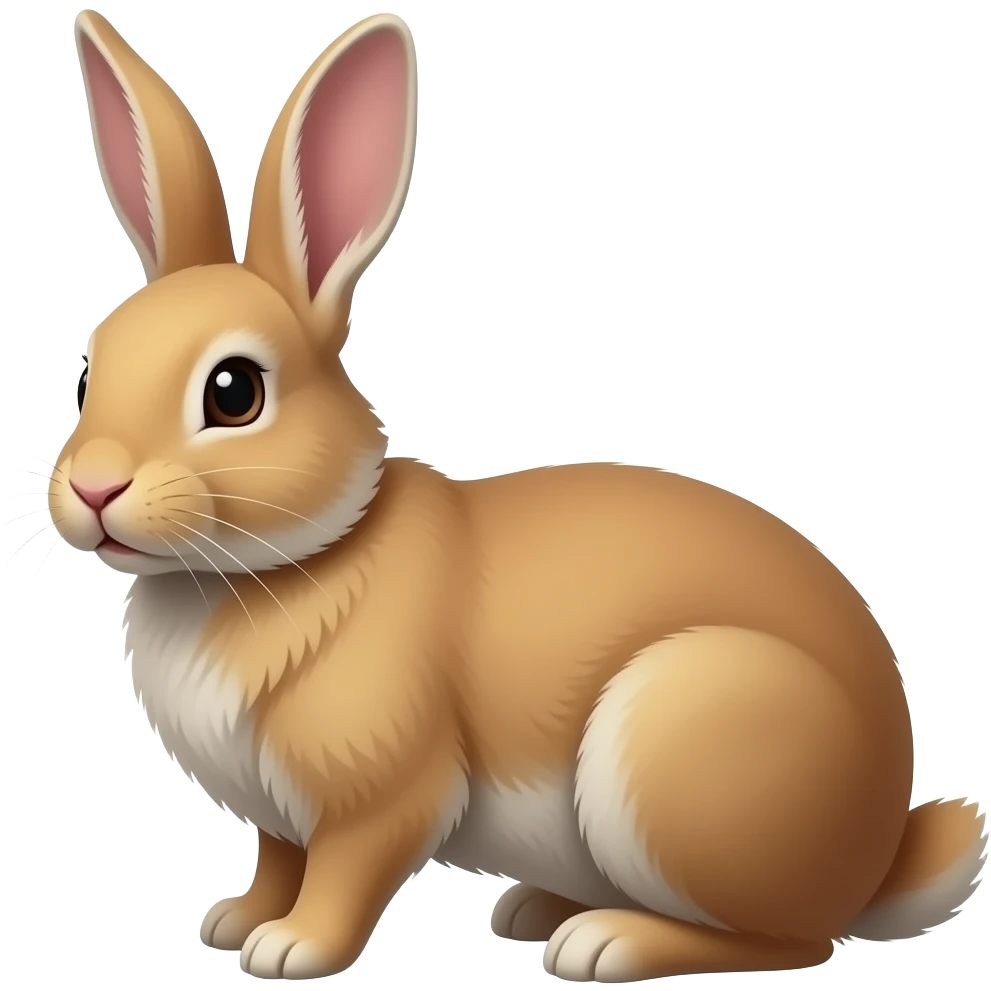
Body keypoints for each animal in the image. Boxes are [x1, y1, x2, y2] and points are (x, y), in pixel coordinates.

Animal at [56, 10, 987, 983]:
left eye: (234, 392)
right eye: (88, 371)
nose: (92, 485)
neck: (284, 560)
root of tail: (878, 854)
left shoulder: (379, 790)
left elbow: (347, 870)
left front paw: (292, 948)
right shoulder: (278, 817)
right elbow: (278, 861)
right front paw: (234, 921)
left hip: (677, 752)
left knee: (790, 941)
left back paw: (605, 941)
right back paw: (538, 908)